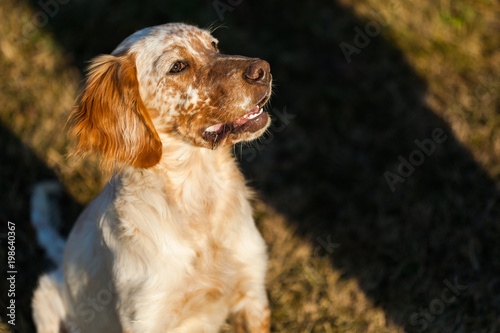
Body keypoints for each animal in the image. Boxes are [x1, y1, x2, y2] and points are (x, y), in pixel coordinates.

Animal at [31, 23, 272, 332]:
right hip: (45, 296)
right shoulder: (147, 316)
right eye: (177, 66)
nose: (263, 69)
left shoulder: (253, 291)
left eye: (214, 45)